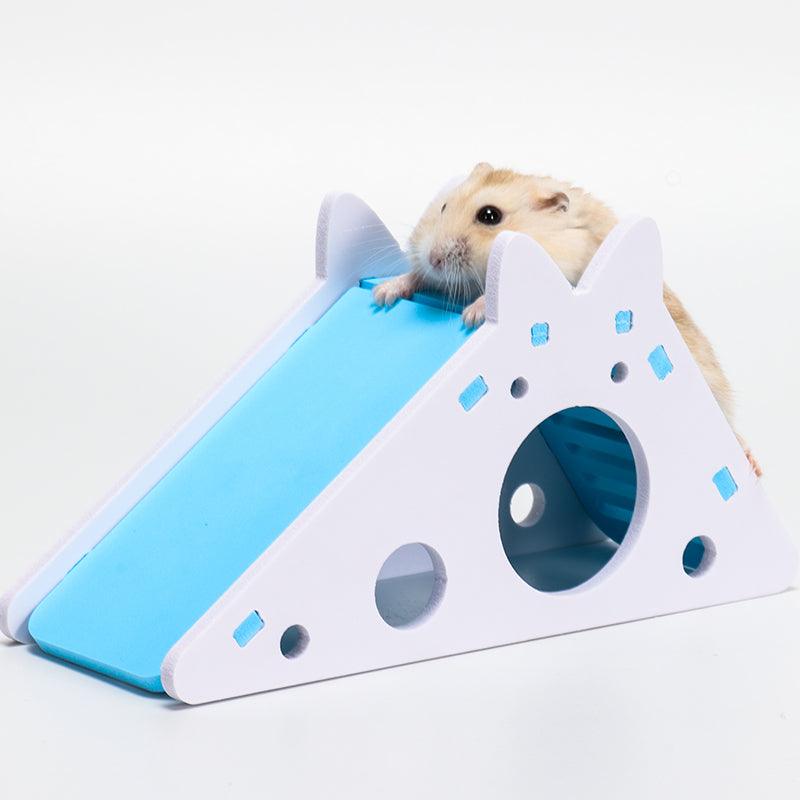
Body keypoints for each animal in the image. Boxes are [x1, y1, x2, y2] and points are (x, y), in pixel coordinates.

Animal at [373, 163, 761, 475]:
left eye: (490, 216)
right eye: (442, 206)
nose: (434, 258)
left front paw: (472, 314)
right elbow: (416, 279)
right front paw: (383, 295)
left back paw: (751, 462)